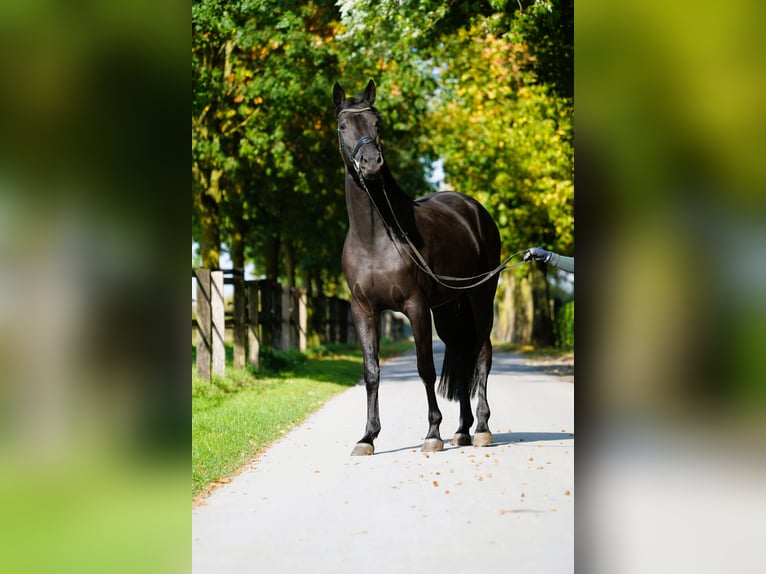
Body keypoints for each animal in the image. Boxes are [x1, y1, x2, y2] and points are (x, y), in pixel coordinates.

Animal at [334, 80, 504, 456]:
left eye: (378, 123)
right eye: (343, 126)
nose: (371, 163)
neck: (375, 238)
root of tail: (474, 209)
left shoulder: (415, 306)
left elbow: (425, 367)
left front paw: (432, 433)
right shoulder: (363, 309)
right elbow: (371, 371)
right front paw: (367, 437)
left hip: (480, 297)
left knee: (482, 353)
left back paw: (482, 428)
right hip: (448, 307)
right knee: (462, 354)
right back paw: (462, 430)